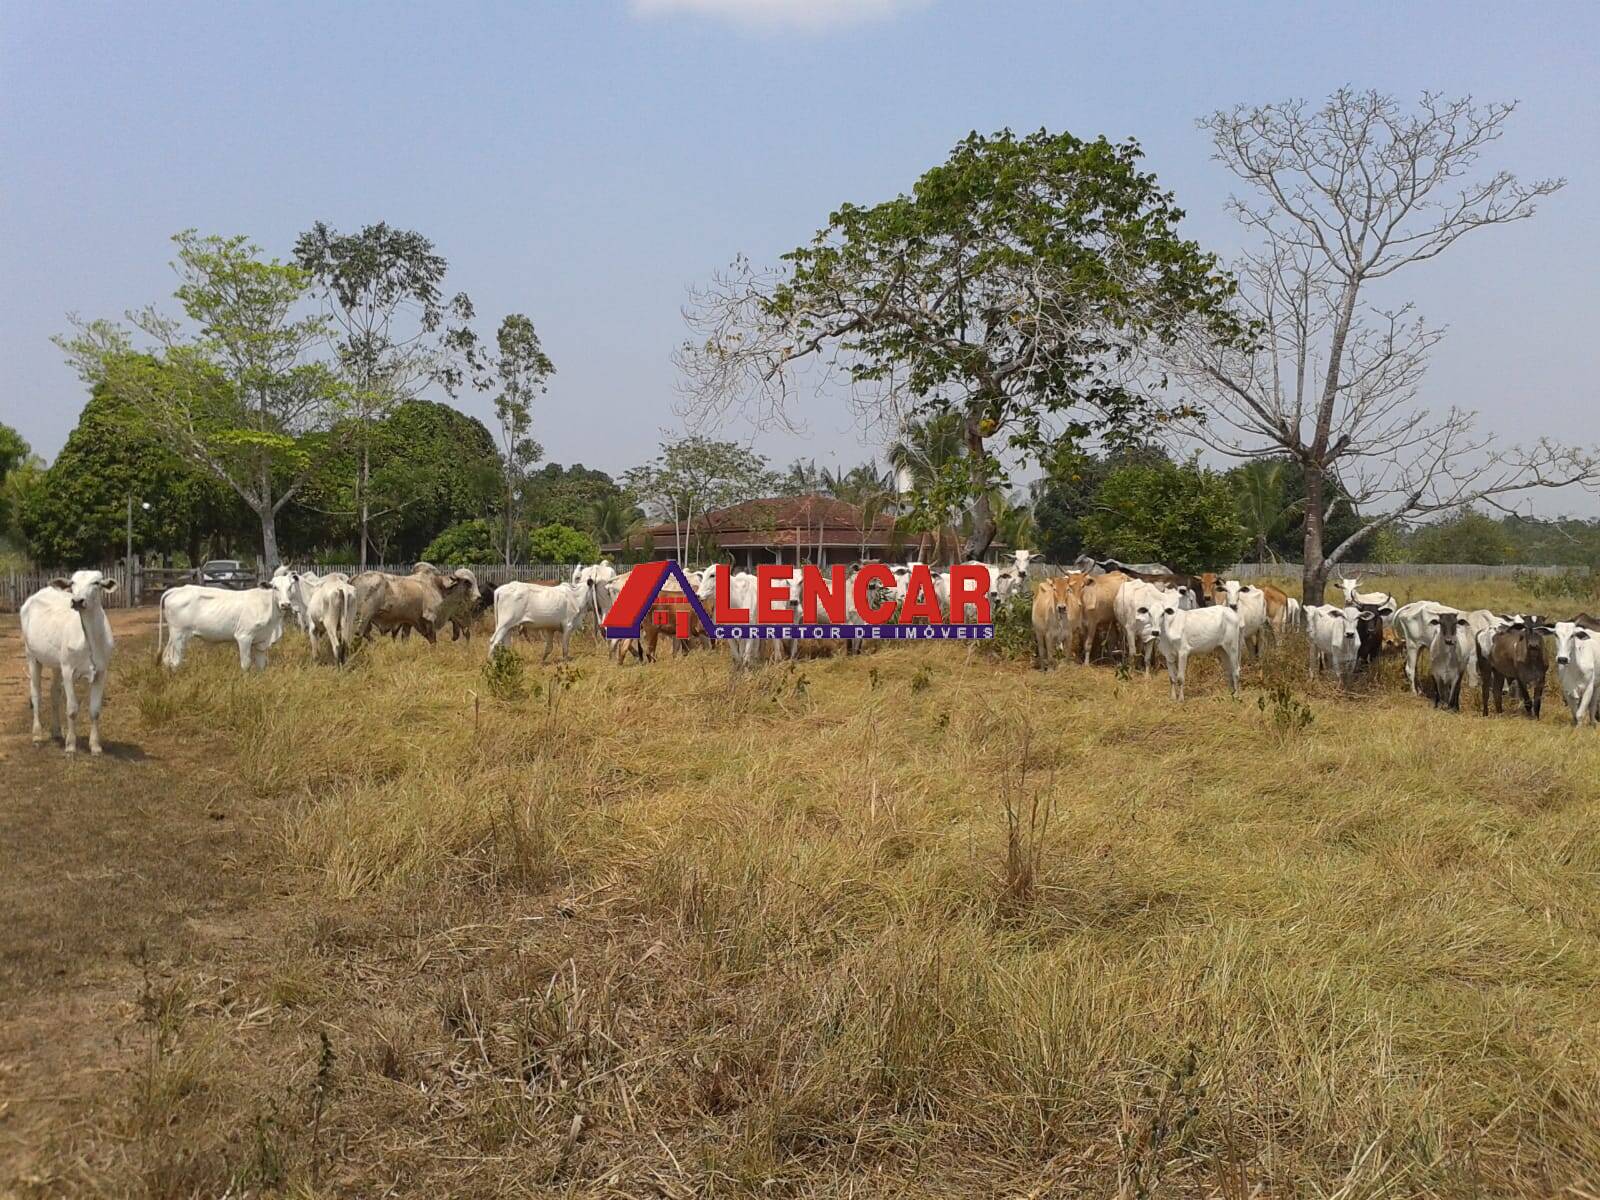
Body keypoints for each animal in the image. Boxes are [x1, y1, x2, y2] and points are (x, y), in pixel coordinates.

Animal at [20, 569, 118, 755]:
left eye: (96, 583)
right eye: (72, 583)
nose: (77, 601)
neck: (90, 638)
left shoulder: (102, 672)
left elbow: (95, 710)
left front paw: (95, 746)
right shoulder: (68, 669)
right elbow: (72, 709)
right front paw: (71, 746)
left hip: (57, 664)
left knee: (54, 693)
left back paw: (57, 732)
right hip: (32, 656)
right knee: (36, 695)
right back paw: (37, 736)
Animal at [157, 585, 286, 672]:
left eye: (289, 585)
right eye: (275, 587)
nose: (285, 604)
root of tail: (178, 589)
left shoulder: (261, 640)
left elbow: (261, 665)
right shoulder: (244, 637)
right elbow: (246, 664)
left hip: (174, 636)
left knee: (167, 658)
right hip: (179, 635)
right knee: (175, 662)